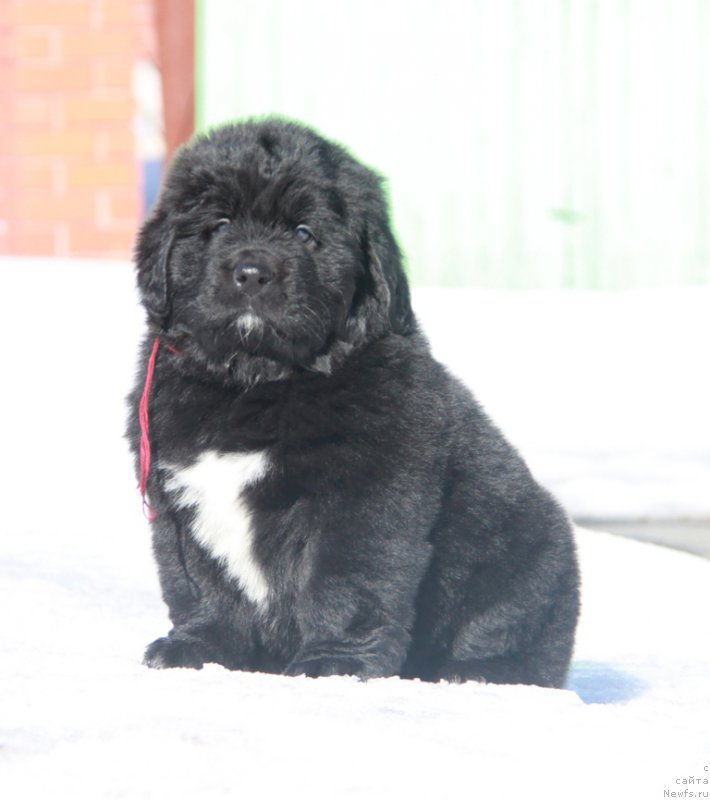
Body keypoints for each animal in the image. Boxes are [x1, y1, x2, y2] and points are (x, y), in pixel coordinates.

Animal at [126, 119, 580, 688]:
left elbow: (344, 580)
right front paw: (197, 650)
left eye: (304, 232)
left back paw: (477, 671)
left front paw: (334, 664)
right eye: (219, 224)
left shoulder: (362, 497)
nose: (252, 271)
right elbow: (200, 584)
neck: (257, 383)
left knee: (513, 627)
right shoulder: (178, 499)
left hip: (524, 547)